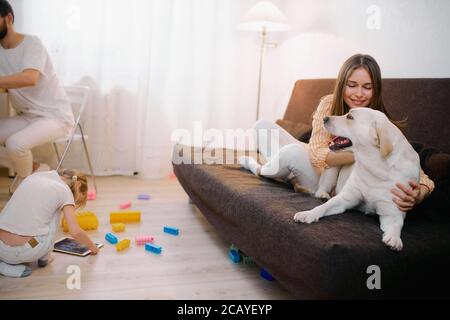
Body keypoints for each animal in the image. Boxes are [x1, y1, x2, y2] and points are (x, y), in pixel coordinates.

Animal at [294, 109, 420, 251]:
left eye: (350, 117)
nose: (324, 118)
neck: (376, 168)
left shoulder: (393, 212)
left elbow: (396, 226)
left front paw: (394, 239)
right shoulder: (344, 199)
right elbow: (323, 207)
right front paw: (308, 214)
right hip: (333, 163)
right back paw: (322, 194)